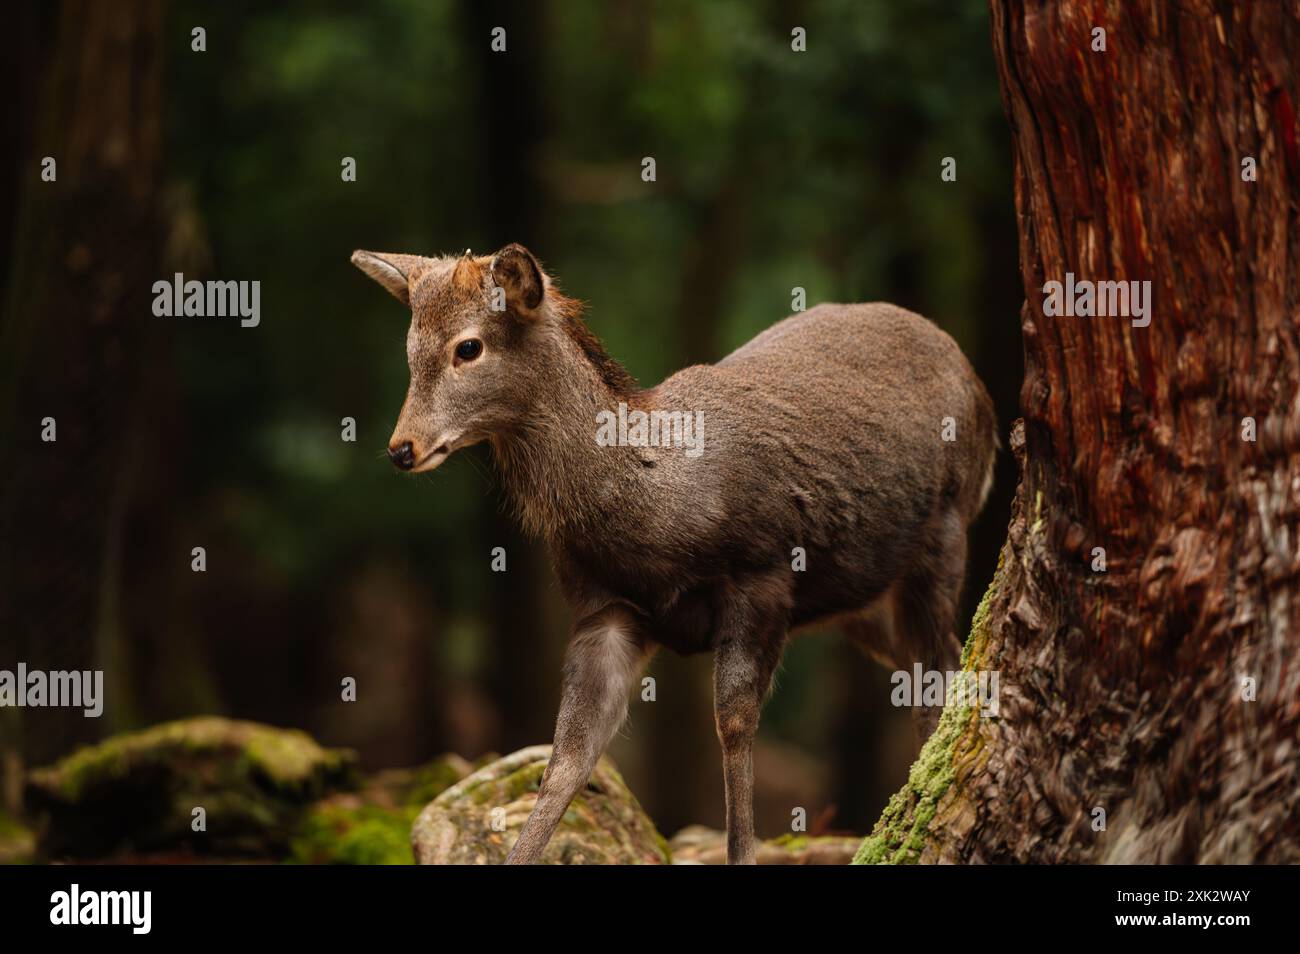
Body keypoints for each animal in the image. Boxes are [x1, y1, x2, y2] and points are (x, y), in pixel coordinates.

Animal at [351, 240, 998, 868]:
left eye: (469, 347)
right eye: (410, 348)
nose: (401, 448)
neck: (660, 513)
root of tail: (980, 389)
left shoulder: (763, 576)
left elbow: (732, 724)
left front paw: (743, 853)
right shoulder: (604, 610)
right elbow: (568, 757)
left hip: (943, 533)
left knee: (940, 667)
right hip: (861, 597)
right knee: (930, 662)